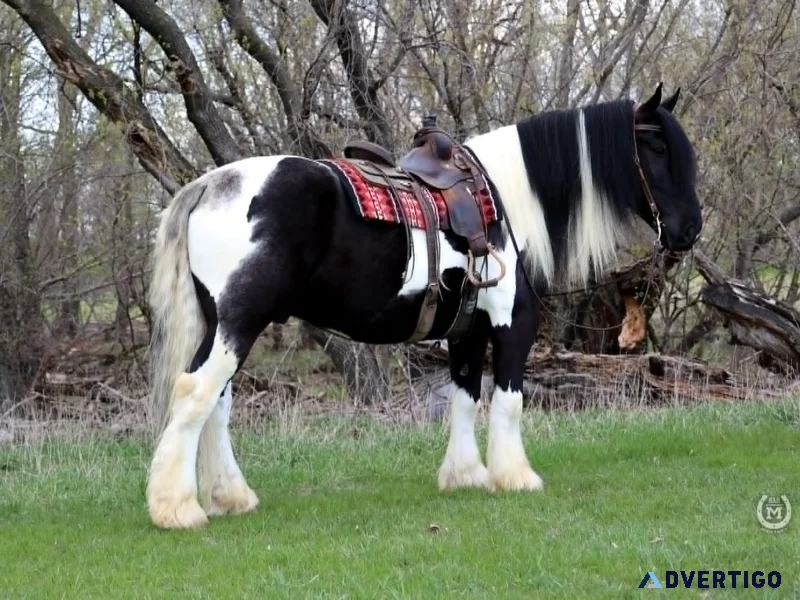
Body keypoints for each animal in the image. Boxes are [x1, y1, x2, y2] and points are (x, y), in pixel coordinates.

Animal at [145, 83, 702, 529]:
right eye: (657, 146)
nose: (690, 230)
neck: (501, 199)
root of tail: (211, 186)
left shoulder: (467, 331)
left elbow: (464, 397)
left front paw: (465, 474)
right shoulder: (512, 322)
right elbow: (508, 399)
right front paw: (515, 477)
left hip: (224, 325)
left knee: (217, 404)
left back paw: (230, 496)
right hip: (239, 322)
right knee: (195, 393)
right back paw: (177, 508)